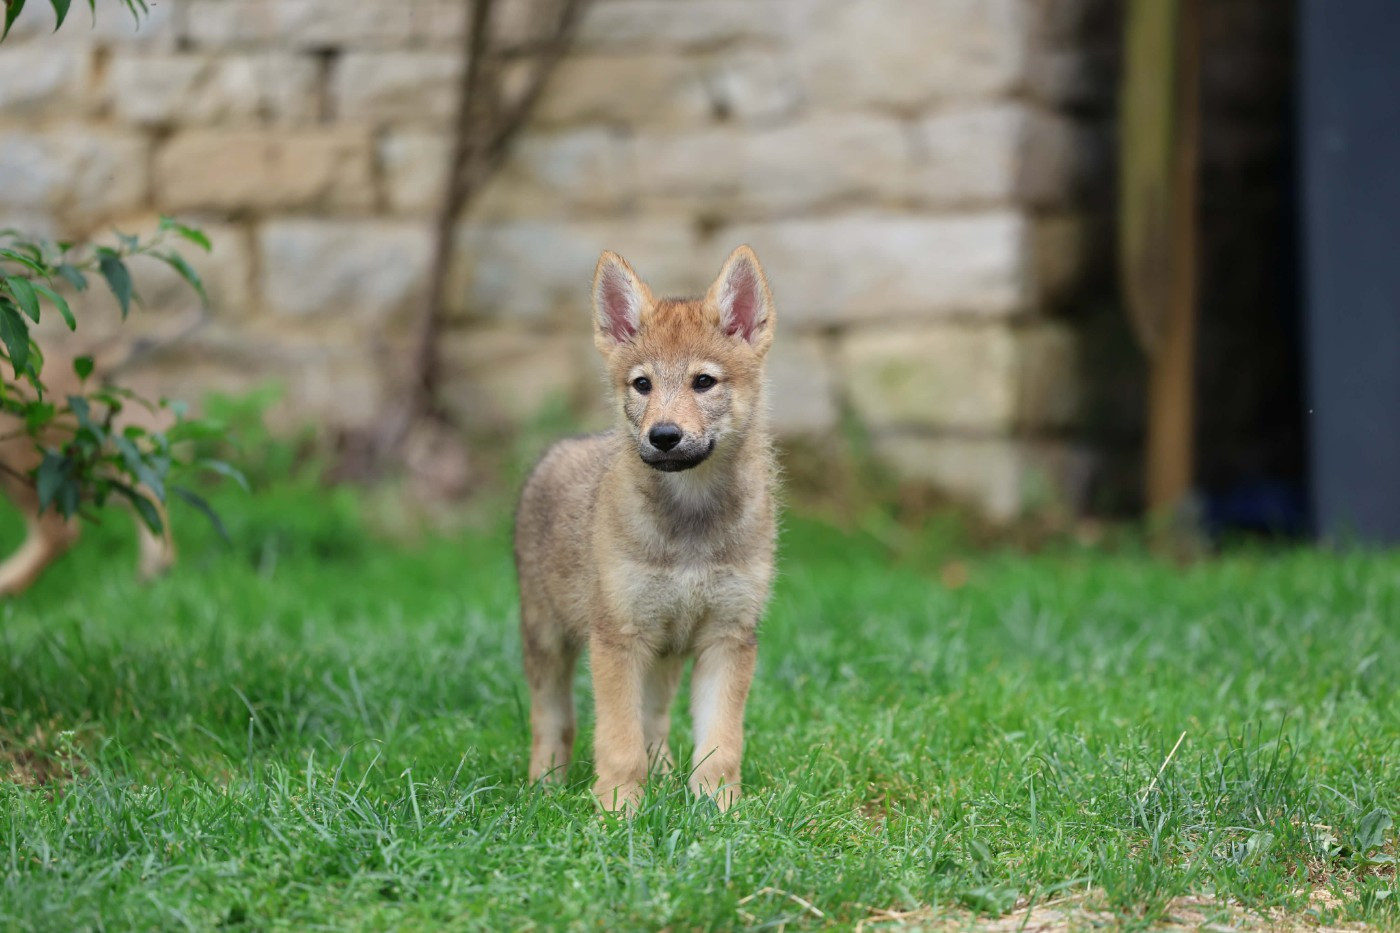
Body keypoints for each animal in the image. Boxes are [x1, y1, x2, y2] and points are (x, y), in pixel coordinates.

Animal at [514, 245, 779, 813]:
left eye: (703, 382)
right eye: (643, 384)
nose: (663, 436)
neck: (690, 528)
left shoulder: (727, 637)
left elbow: (719, 746)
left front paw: (719, 811)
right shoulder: (619, 638)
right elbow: (619, 743)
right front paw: (617, 813)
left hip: (665, 653)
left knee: (654, 722)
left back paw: (663, 780)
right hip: (547, 639)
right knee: (552, 721)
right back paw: (545, 788)